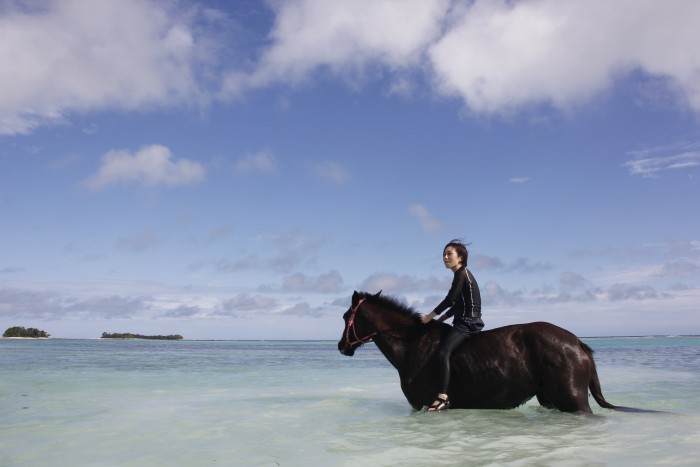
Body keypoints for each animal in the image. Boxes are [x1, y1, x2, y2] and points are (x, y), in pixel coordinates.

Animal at [338, 290, 640, 414]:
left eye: (344, 317)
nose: (341, 346)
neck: (412, 344)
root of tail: (577, 343)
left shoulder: (422, 406)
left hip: (574, 402)